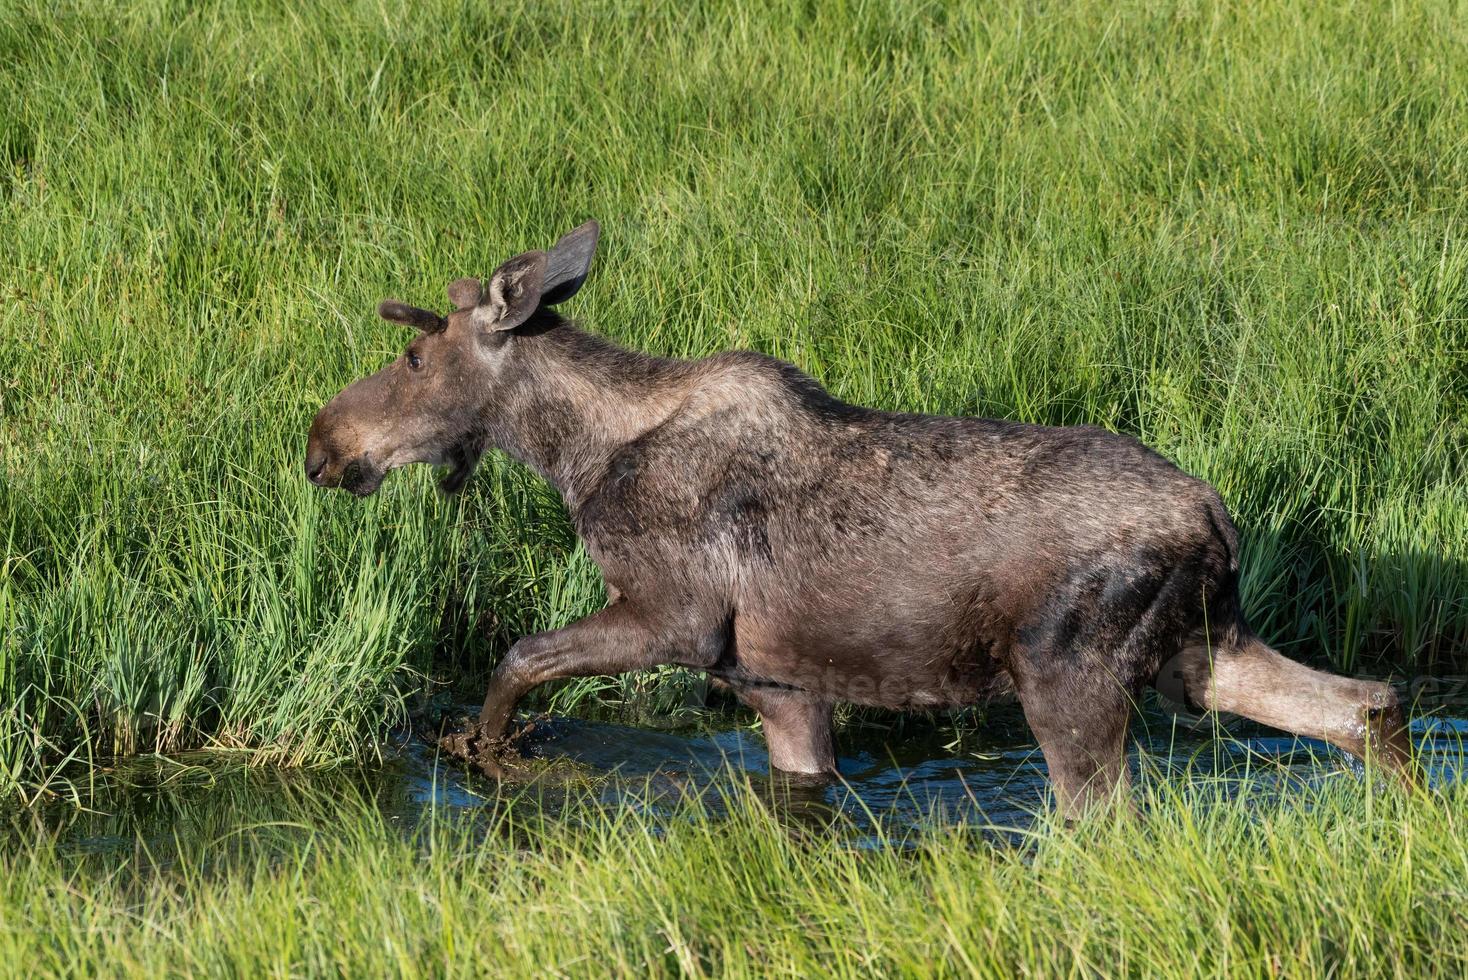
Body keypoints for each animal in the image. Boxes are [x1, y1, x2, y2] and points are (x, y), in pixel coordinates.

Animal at [306, 224, 1409, 821]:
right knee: (1362, 703)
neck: (573, 456)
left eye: (414, 358)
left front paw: (488, 751)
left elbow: (519, 656)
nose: (322, 441)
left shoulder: (676, 617)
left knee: (1108, 811)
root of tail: (1217, 522)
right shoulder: (779, 683)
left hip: (1069, 671)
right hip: (1199, 649)